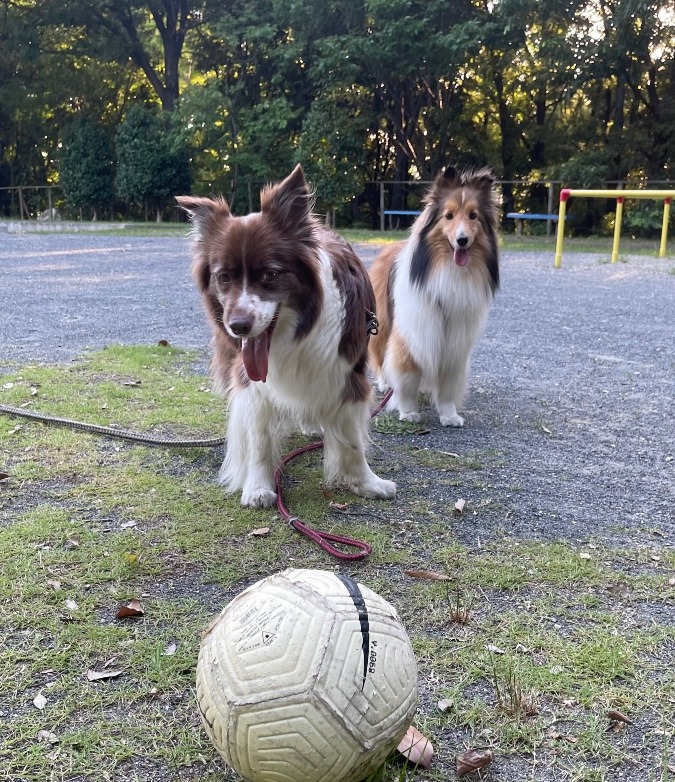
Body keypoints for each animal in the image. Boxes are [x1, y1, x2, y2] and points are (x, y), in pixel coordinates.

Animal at [178, 165, 396, 508]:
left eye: (270, 274)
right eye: (223, 277)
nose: (238, 326)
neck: (291, 333)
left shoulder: (347, 372)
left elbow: (352, 440)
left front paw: (366, 483)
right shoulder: (251, 384)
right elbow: (259, 439)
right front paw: (257, 487)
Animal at [368, 165, 500, 428]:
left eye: (473, 216)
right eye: (448, 216)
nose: (462, 240)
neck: (449, 270)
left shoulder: (455, 344)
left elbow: (448, 385)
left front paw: (449, 415)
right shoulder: (412, 334)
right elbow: (407, 377)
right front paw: (408, 412)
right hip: (383, 322)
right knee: (380, 356)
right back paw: (385, 383)